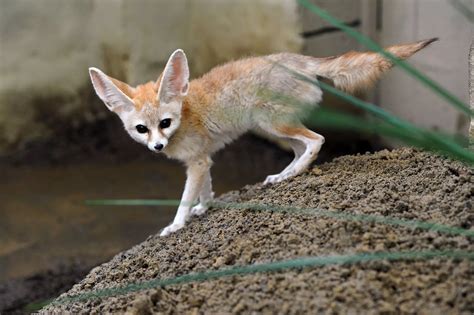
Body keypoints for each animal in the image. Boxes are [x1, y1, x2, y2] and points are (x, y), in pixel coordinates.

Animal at [89, 38, 436, 236]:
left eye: (165, 122)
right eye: (142, 129)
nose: (158, 146)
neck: (186, 112)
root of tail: (299, 59)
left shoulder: (197, 162)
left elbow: (186, 198)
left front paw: (177, 224)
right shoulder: (203, 161)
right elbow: (206, 191)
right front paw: (204, 209)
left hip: (271, 123)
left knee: (316, 140)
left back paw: (290, 174)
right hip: (268, 126)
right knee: (300, 148)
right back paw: (282, 175)